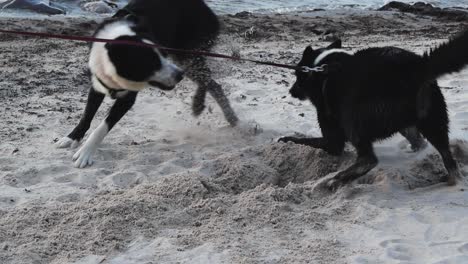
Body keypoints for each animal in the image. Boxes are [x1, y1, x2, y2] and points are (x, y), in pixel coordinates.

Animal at [55, 0, 238, 168]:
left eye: (163, 53)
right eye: (152, 63)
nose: (179, 76)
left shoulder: (127, 99)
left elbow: (102, 127)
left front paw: (86, 152)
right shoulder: (97, 85)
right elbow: (87, 115)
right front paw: (72, 137)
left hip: (189, 53)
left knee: (209, 82)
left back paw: (204, 106)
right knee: (211, 83)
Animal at [280, 29, 468, 190]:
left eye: (297, 75)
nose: (291, 91)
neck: (319, 68)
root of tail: (417, 67)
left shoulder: (331, 140)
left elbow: (307, 141)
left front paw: (285, 139)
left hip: (353, 117)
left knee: (368, 159)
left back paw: (337, 179)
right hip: (432, 121)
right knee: (445, 156)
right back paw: (450, 179)